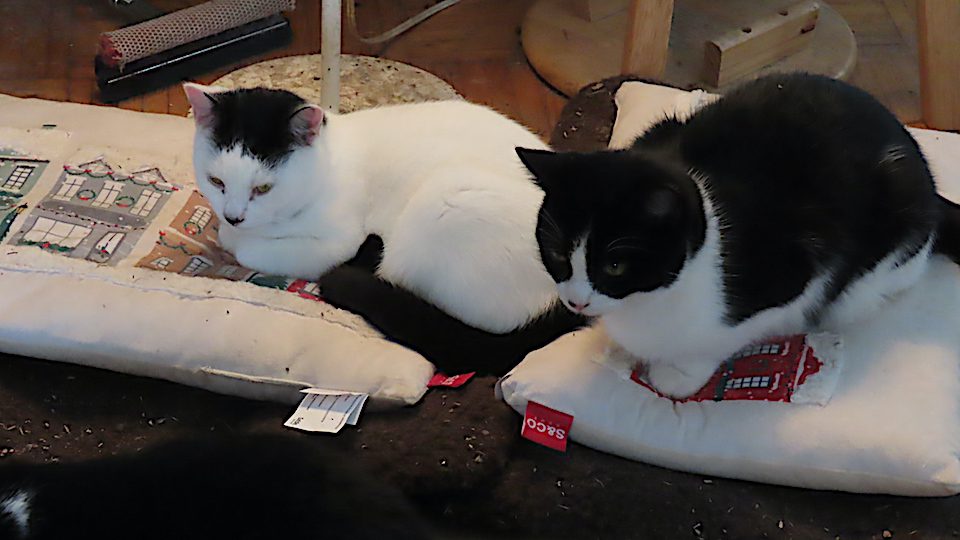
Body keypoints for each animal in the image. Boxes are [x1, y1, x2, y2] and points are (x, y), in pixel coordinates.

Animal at [517, 73, 960, 399]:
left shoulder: (793, 276)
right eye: (557, 253)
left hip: (880, 261)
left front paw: (679, 372)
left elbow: (729, 334)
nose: (576, 301)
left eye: (614, 264)